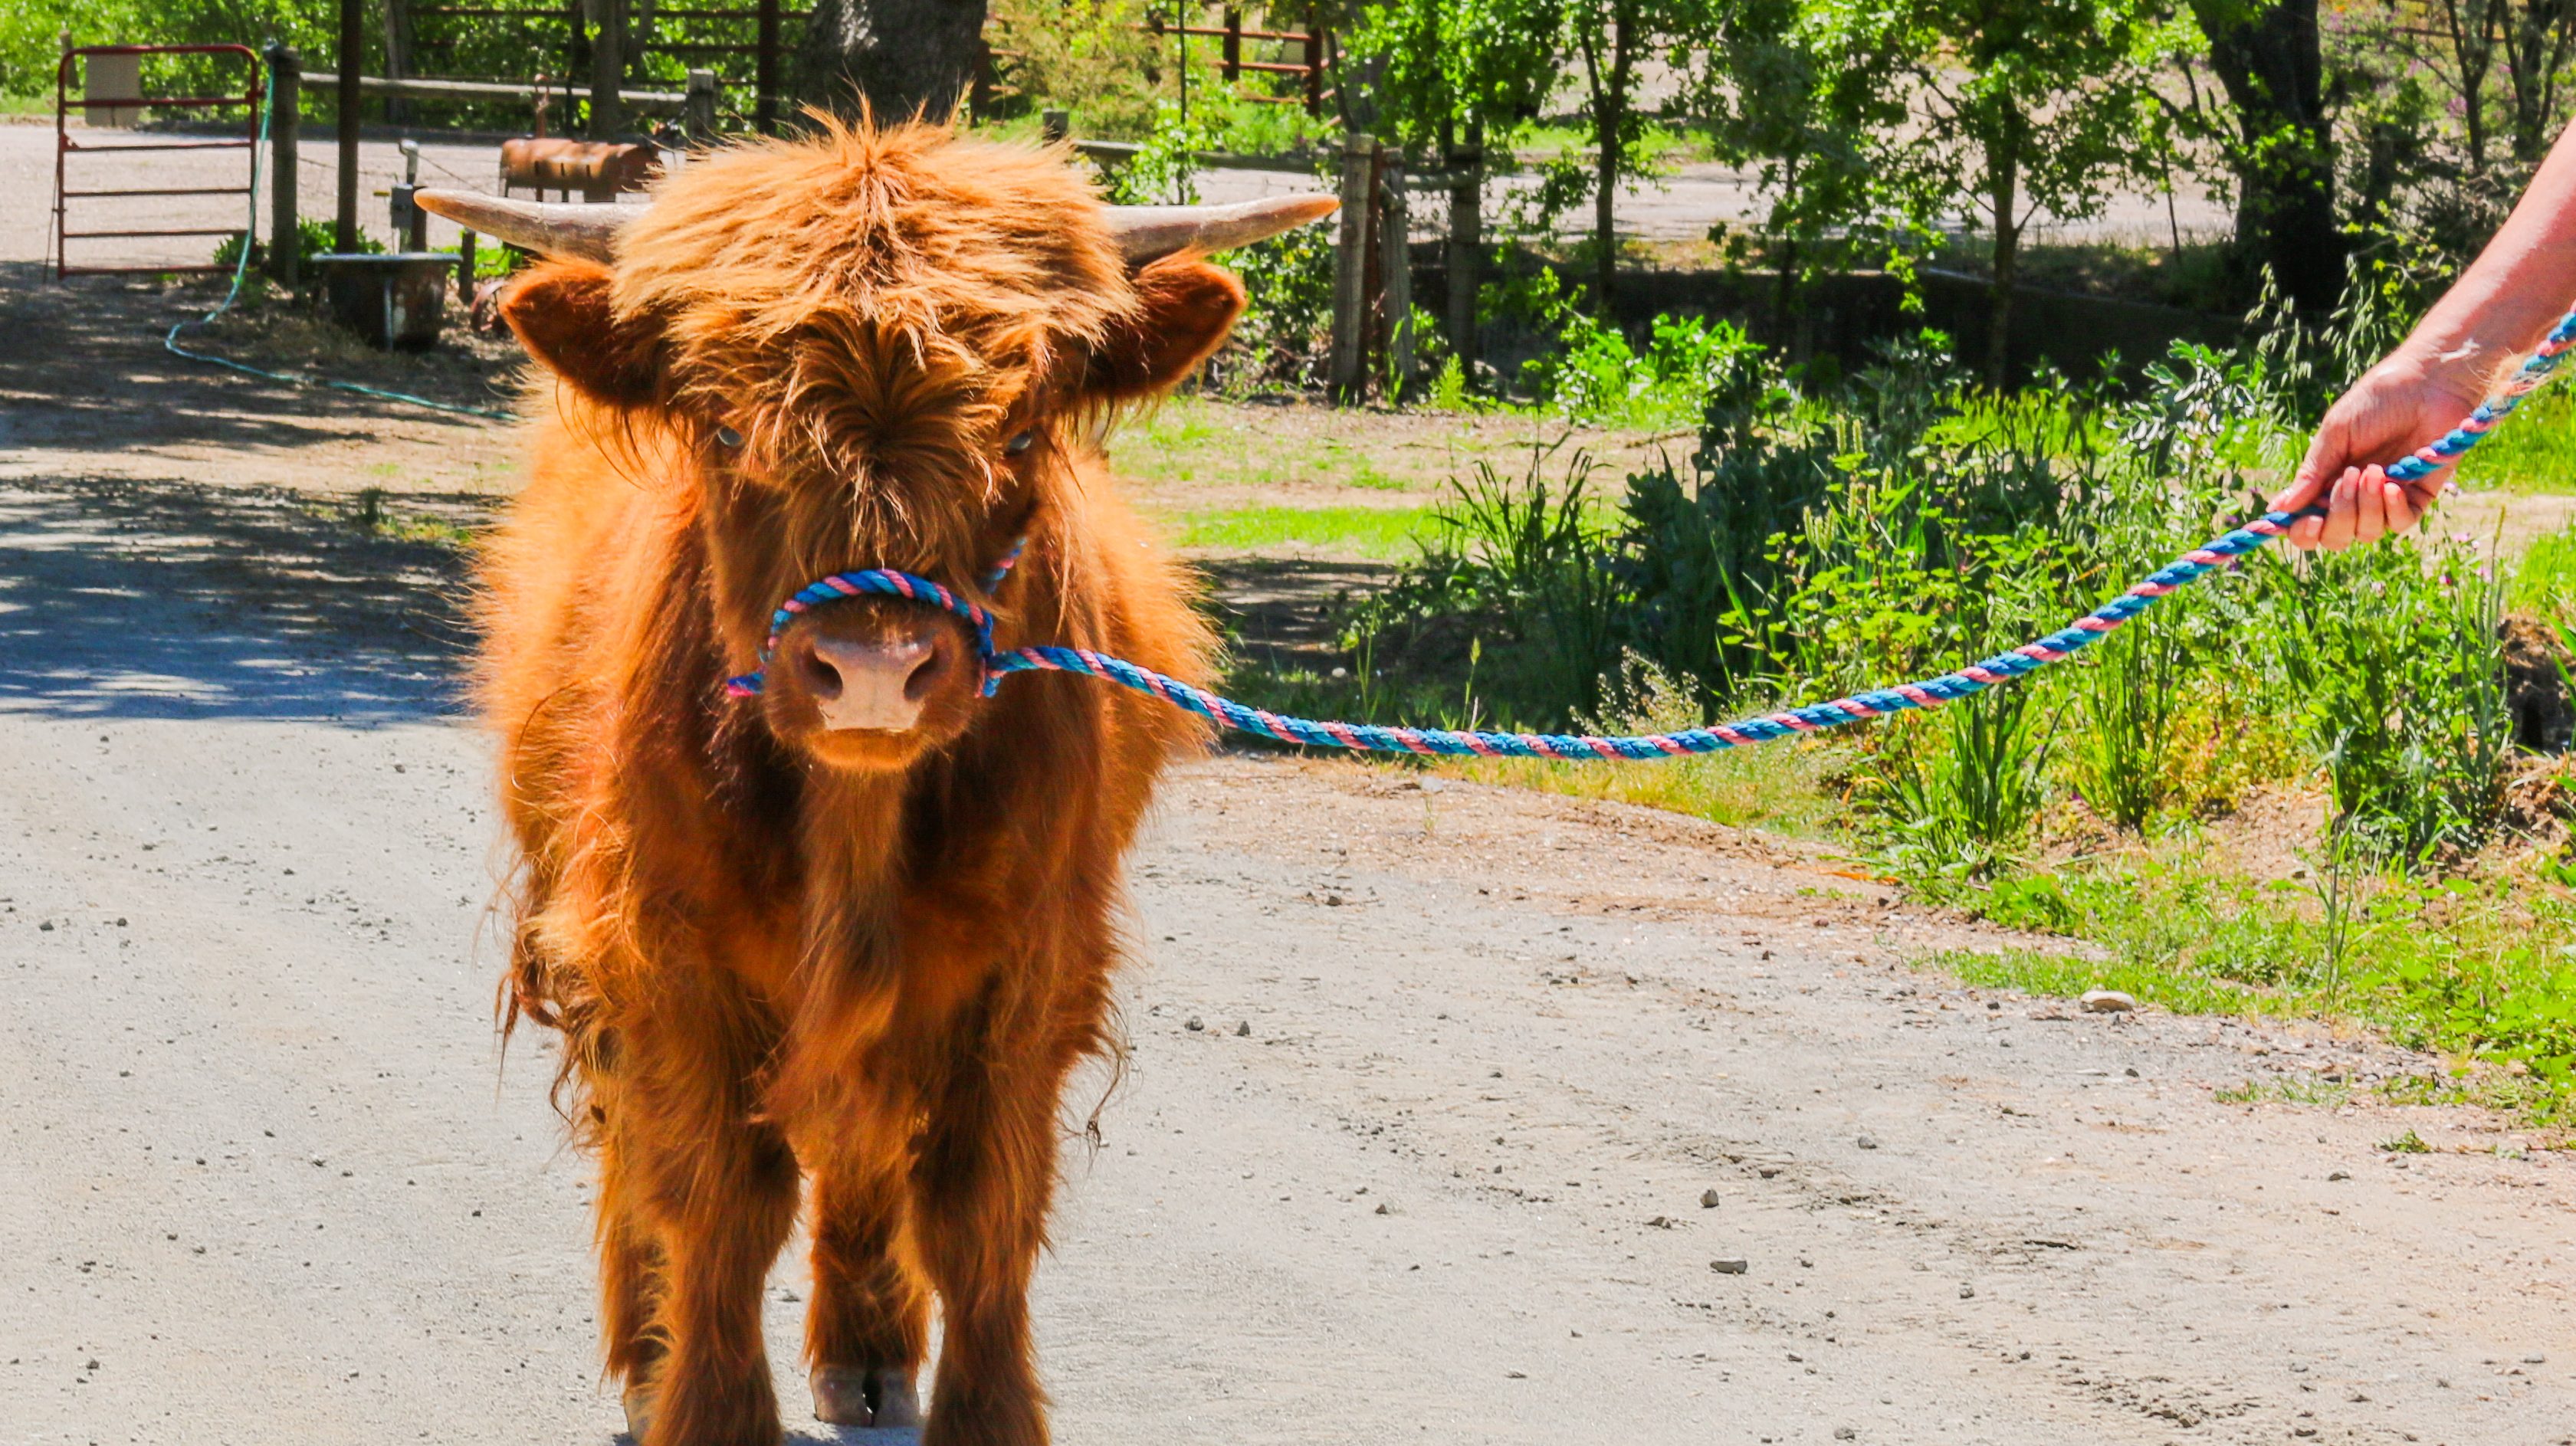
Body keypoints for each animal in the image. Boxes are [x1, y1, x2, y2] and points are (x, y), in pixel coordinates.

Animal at [416, 120, 1333, 1446]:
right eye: (726, 430)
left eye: (1018, 434)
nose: (872, 670)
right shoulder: (667, 949)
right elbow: (718, 1192)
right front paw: (704, 1403)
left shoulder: (1029, 967)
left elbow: (978, 1205)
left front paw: (984, 1412)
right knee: (635, 1127)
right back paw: (646, 1350)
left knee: (864, 1146)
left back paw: (865, 1353)